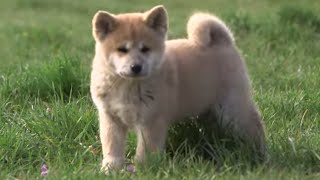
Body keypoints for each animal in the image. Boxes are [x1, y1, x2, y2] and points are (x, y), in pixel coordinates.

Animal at [89, 5, 264, 172]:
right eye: (122, 49)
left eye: (145, 49)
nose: (136, 67)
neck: (127, 86)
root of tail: (224, 42)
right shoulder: (110, 118)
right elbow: (112, 146)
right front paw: (111, 168)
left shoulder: (152, 120)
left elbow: (146, 150)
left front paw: (143, 169)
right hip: (209, 109)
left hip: (231, 108)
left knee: (254, 126)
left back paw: (258, 153)